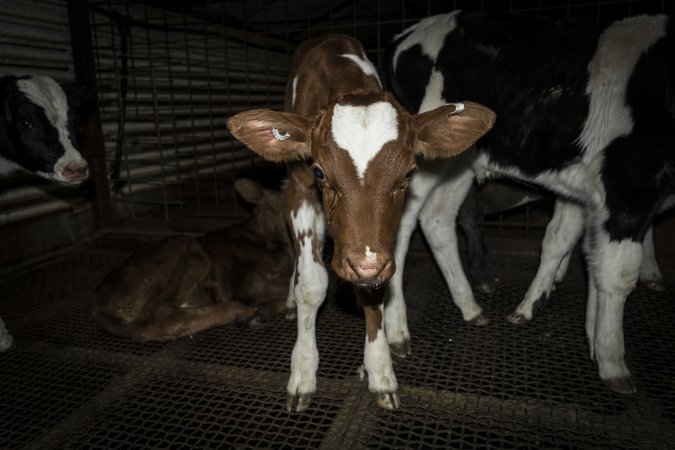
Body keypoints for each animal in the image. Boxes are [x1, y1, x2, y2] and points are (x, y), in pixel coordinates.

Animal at [224, 34, 494, 412]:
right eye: (320, 173)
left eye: (408, 173)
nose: (364, 266)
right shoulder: (300, 192)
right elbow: (311, 285)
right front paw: (303, 372)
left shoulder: (380, 246)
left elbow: (378, 291)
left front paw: (380, 369)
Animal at [386, 11, 675, 394]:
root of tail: (409, 33)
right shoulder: (627, 188)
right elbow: (619, 273)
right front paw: (613, 361)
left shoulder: (586, 194)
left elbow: (579, 250)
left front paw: (589, 335)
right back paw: (397, 332)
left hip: (459, 160)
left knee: (437, 218)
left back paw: (470, 306)